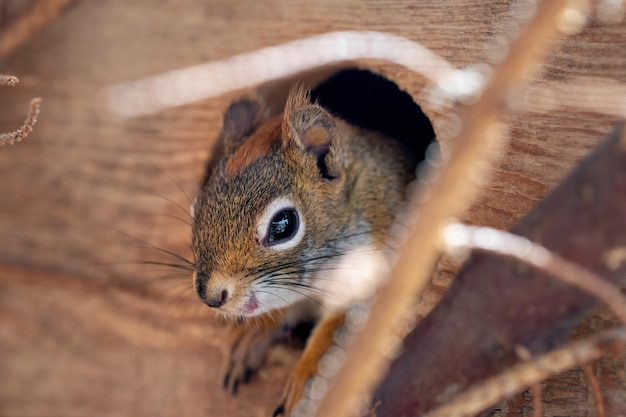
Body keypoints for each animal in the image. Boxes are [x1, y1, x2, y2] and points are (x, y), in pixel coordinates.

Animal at [190, 83, 422, 412]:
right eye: (196, 208)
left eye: (283, 225)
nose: (211, 298)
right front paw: (253, 331)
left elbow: (340, 333)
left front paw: (307, 378)